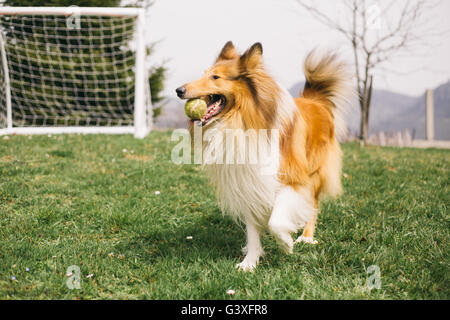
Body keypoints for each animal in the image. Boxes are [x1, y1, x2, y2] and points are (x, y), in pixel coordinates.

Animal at [176, 41, 356, 272]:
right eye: (204, 74)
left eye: (215, 77)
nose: (178, 90)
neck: (241, 122)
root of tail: (315, 101)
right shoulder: (249, 181)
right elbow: (253, 230)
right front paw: (249, 262)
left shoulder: (293, 178)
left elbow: (276, 222)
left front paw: (286, 243)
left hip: (316, 172)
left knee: (313, 206)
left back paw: (306, 237)